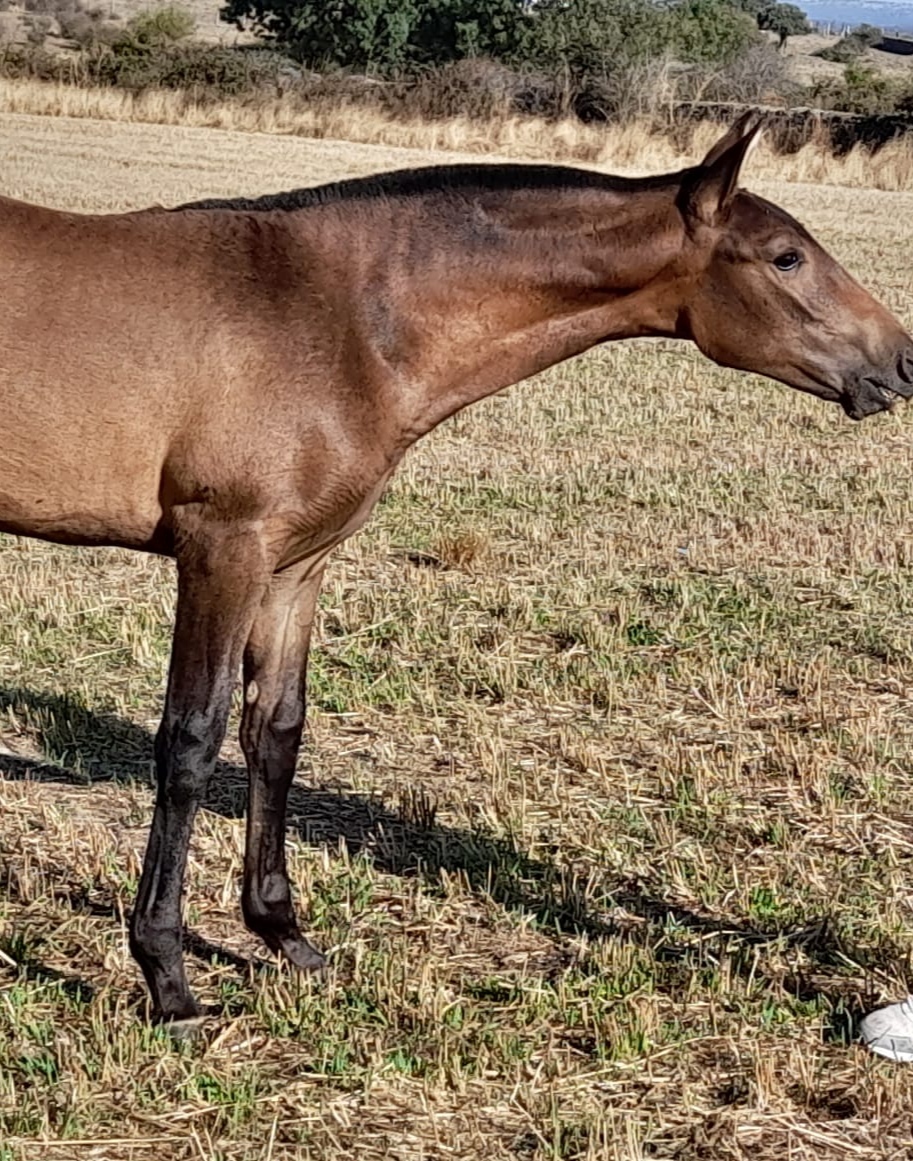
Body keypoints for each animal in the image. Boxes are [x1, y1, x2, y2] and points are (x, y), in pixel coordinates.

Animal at [2, 114, 911, 1024]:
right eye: (785, 256)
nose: (900, 360)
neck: (334, 319)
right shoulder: (224, 551)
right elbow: (191, 742)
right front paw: (167, 976)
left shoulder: (296, 566)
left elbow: (276, 732)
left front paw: (284, 934)